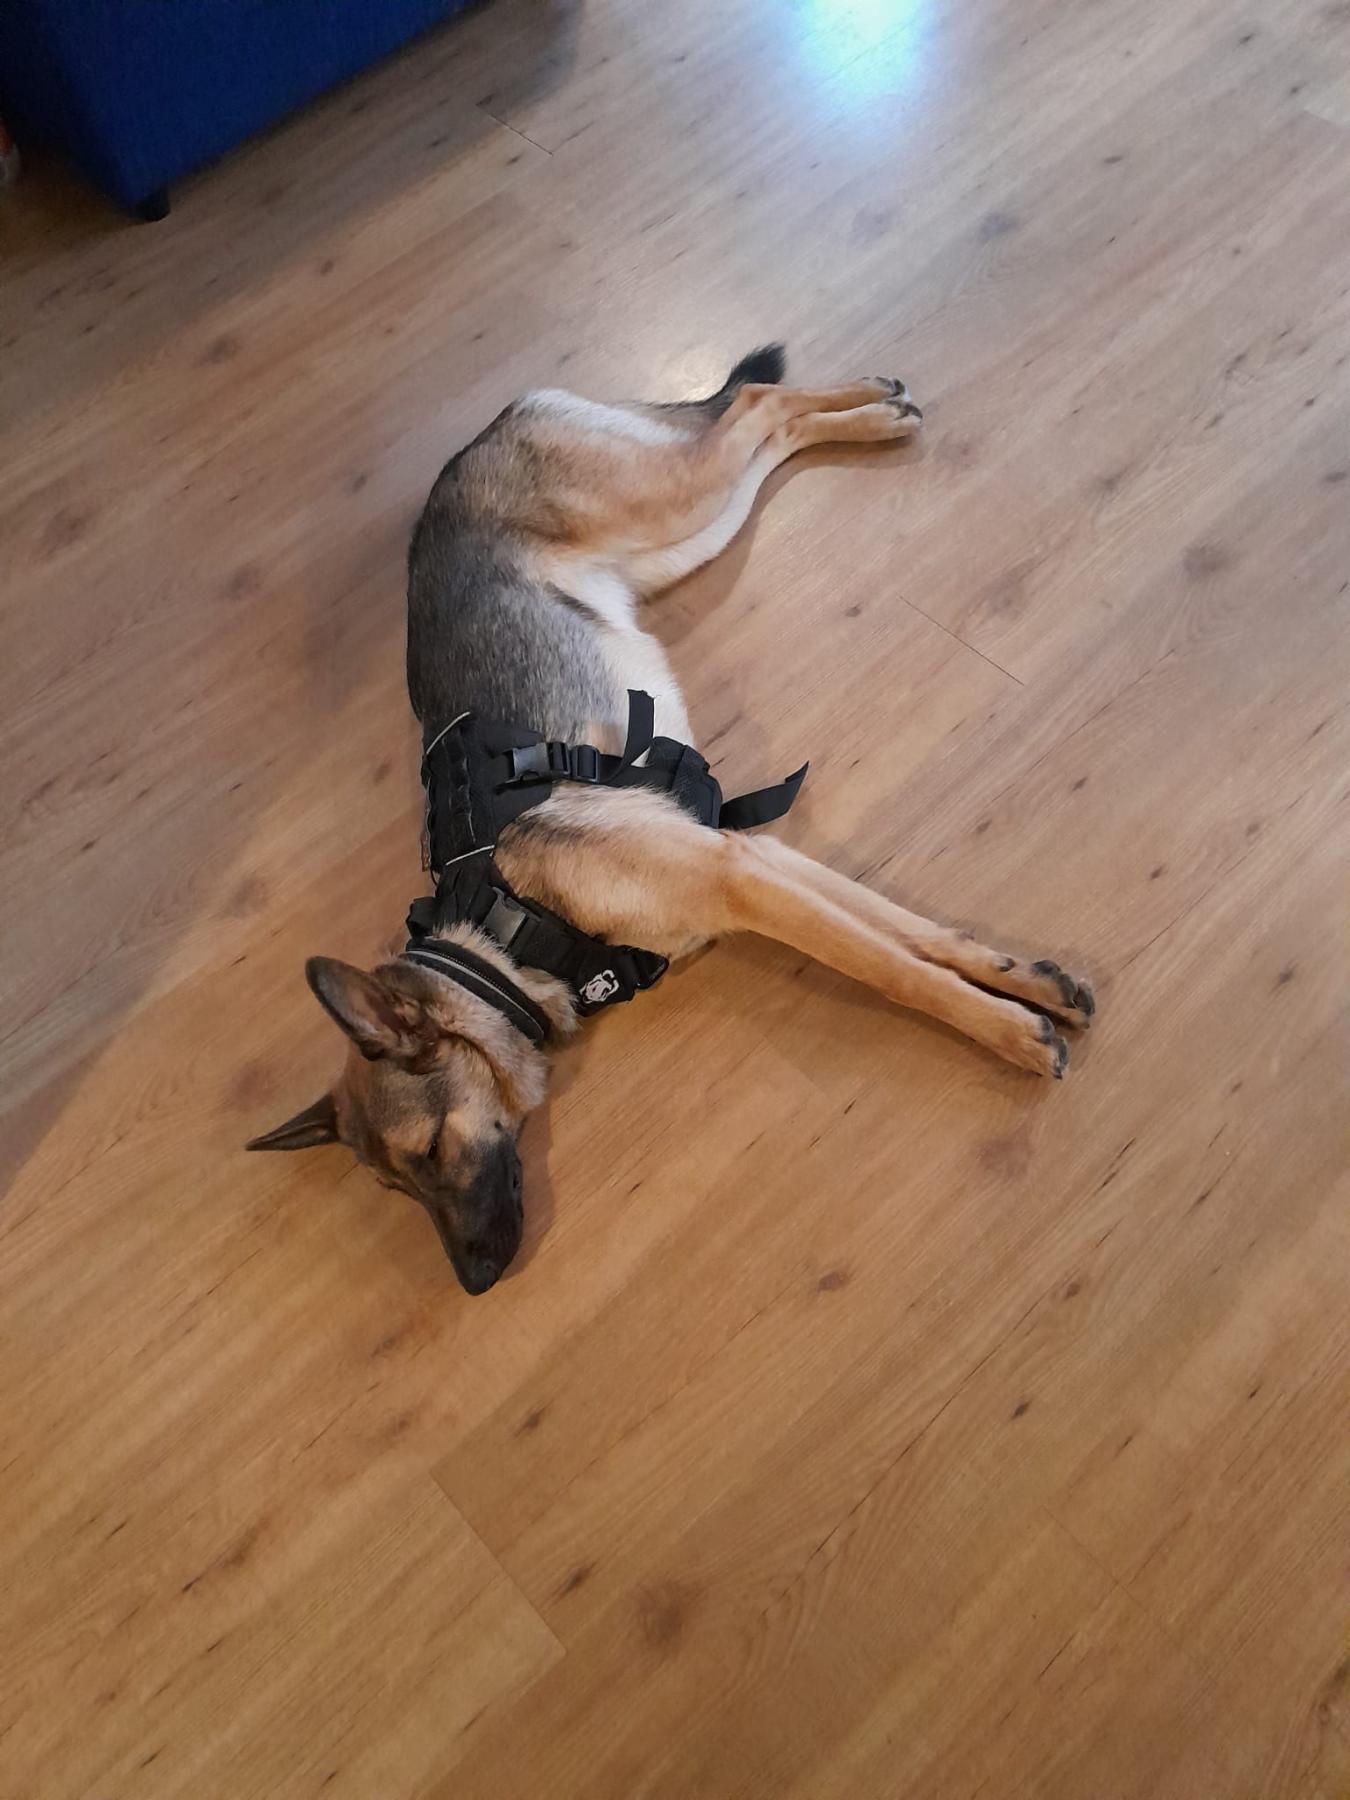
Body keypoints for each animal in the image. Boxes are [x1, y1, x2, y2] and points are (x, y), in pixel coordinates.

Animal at [248, 348, 1094, 1293]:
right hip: (689, 534)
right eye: (399, 1189)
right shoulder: (753, 857)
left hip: (676, 505)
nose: (475, 1282)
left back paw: (872, 413)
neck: (504, 929)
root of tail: (487, 430)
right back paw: (874, 409)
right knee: (760, 427)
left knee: (750, 403)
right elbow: (908, 934)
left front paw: (1007, 1033)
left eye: (429, 1154)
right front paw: (1022, 982)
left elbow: (891, 967)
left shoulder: (739, 881)